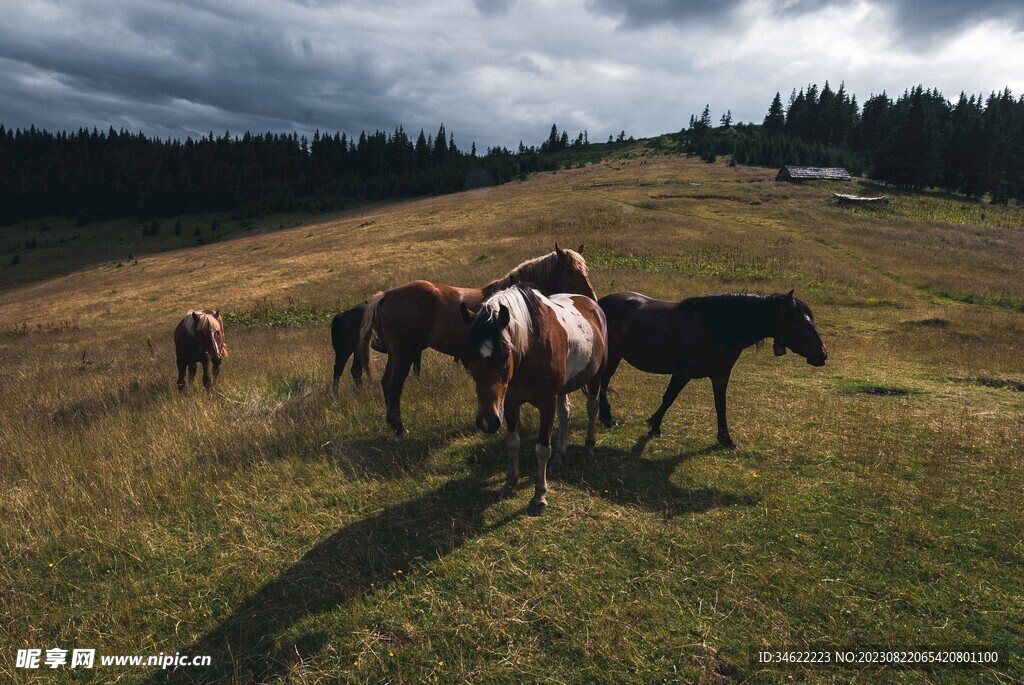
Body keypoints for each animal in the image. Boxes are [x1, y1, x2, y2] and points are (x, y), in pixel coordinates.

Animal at [359, 244, 596, 435]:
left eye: (586, 270)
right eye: (570, 270)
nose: (591, 299)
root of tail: (387, 295)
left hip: (398, 356)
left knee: (386, 384)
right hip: (403, 355)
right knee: (393, 385)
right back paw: (399, 428)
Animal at [459, 285, 607, 516]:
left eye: (505, 354)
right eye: (468, 357)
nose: (487, 422)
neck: (532, 348)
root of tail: (592, 304)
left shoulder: (547, 404)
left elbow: (542, 449)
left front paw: (539, 497)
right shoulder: (510, 402)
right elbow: (513, 442)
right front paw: (509, 485)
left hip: (595, 378)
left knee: (592, 408)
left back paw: (589, 450)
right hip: (563, 389)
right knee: (565, 413)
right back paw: (559, 457)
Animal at [598, 290, 827, 447]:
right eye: (797, 320)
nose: (822, 355)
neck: (715, 328)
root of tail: (599, 302)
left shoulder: (721, 376)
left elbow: (721, 405)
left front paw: (725, 439)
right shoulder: (682, 374)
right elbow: (668, 398)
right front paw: (654, 426)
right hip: (613, 357)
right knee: (602, 383)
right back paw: (607, 418)